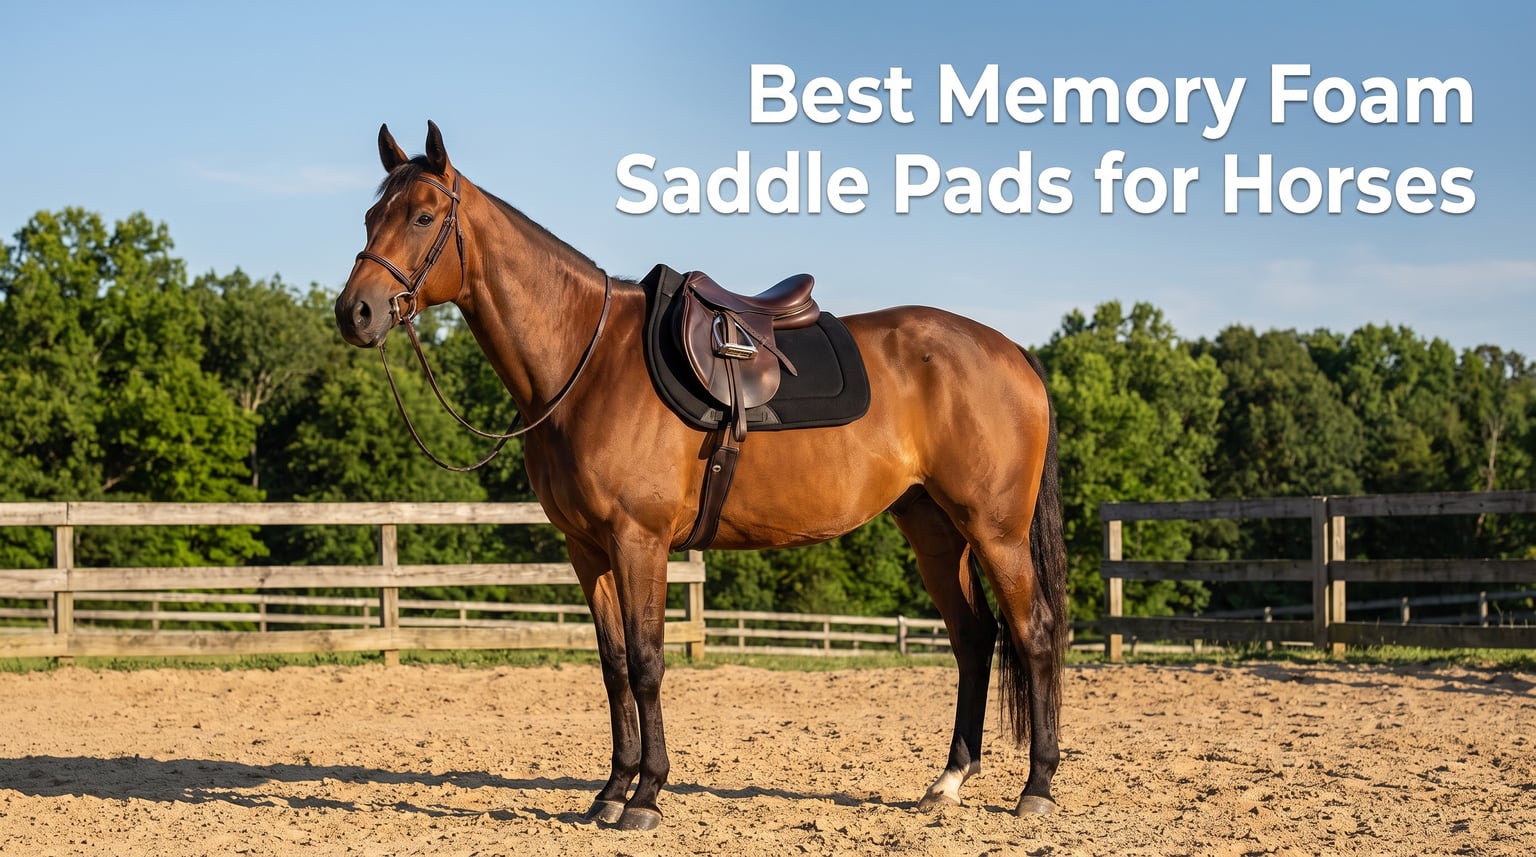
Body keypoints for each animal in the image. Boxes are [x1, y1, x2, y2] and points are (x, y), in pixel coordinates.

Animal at [333, 121, 1069, 830]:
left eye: (424, 216)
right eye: (370, 215)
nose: (355, 312)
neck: (587, 362)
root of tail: (1013, 352)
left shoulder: (639, 541)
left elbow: (648, 662)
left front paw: (646, 795)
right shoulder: (587, 548)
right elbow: (613, 667)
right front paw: (611, 791)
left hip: (996, 532)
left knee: (1033, 634)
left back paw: (1035, 787)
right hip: (936, 530)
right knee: (973, 638)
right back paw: (947, 783)